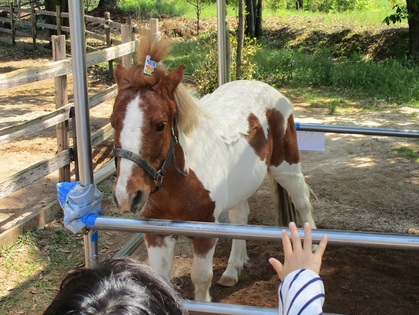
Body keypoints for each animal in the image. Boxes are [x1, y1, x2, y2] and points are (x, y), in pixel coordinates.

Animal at [110, 33, 316, 302]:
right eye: (113, 122)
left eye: (160, 125)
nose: (127, 196)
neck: (182, 181)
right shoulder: (157, 234)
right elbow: (160, 278)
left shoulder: (205, 234)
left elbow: (200, 279)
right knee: (240, 217)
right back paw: (232, 270)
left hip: (287, 169)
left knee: (302, 203)